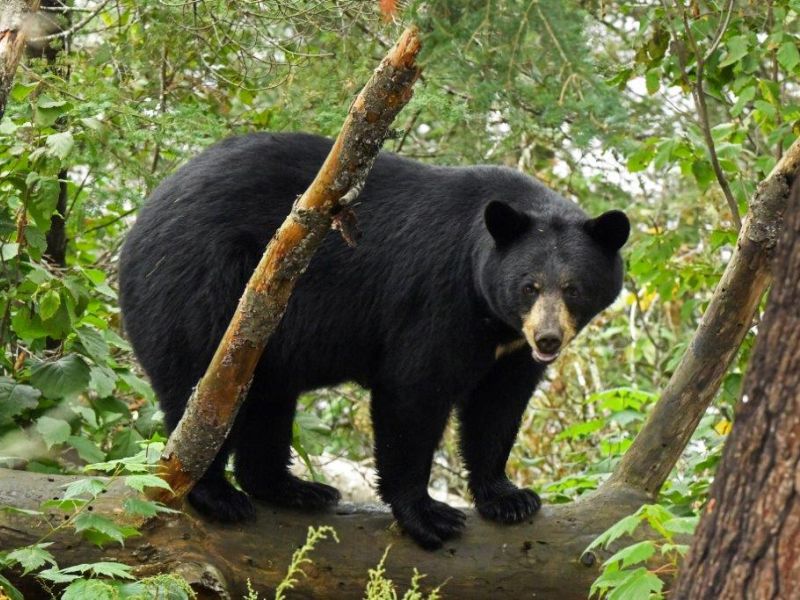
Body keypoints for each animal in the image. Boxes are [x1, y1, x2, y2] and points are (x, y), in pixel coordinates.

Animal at [118, 132, 629, 550]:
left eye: (573, 288)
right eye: (529, 286)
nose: (548, 338)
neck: (493, 318)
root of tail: (140, 223)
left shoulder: (510, 350)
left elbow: (497, 407)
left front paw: (509, 498)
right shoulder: (438, 300)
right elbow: (414, 392)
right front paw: (429, 517)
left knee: (265, 400)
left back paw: (295, 489)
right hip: (202, 291)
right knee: (201, 391)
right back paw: (218, 495)